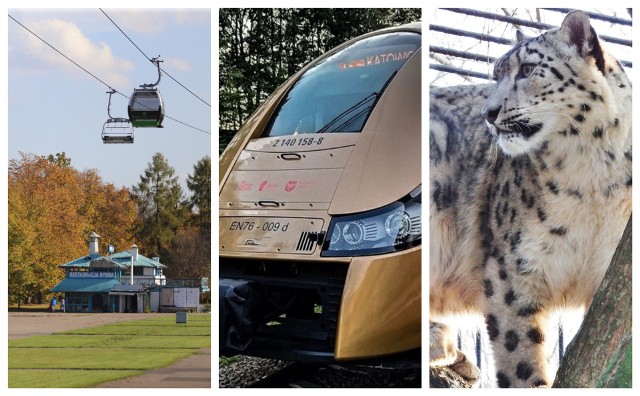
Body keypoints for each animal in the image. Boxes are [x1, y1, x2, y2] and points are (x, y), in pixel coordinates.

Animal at [428, 10, 632, 388]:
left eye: (527, 69)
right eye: (495, 75)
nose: (489, 113)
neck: (592, 176)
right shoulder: (513, 269)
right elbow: (519, 352)